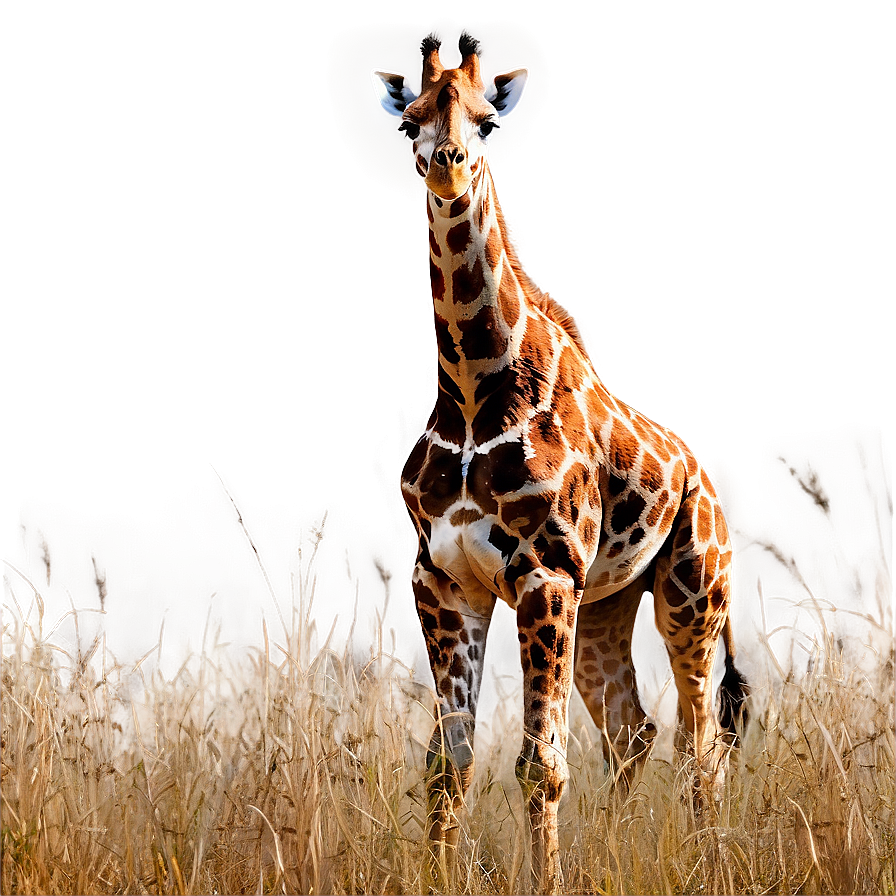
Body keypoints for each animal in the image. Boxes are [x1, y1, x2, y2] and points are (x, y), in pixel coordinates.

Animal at [373, 31, 748, 893]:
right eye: (409, 120)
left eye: (488, 121)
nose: (447, 163)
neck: (472, 394)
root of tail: (707, 483)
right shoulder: (444, 582)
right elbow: (447, 764)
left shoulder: (543, 573)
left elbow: (540, 765)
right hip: (609, 603)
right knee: (634, 734)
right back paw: (620, 851)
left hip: (691, 598)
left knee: (701, 748)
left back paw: (708, 867)